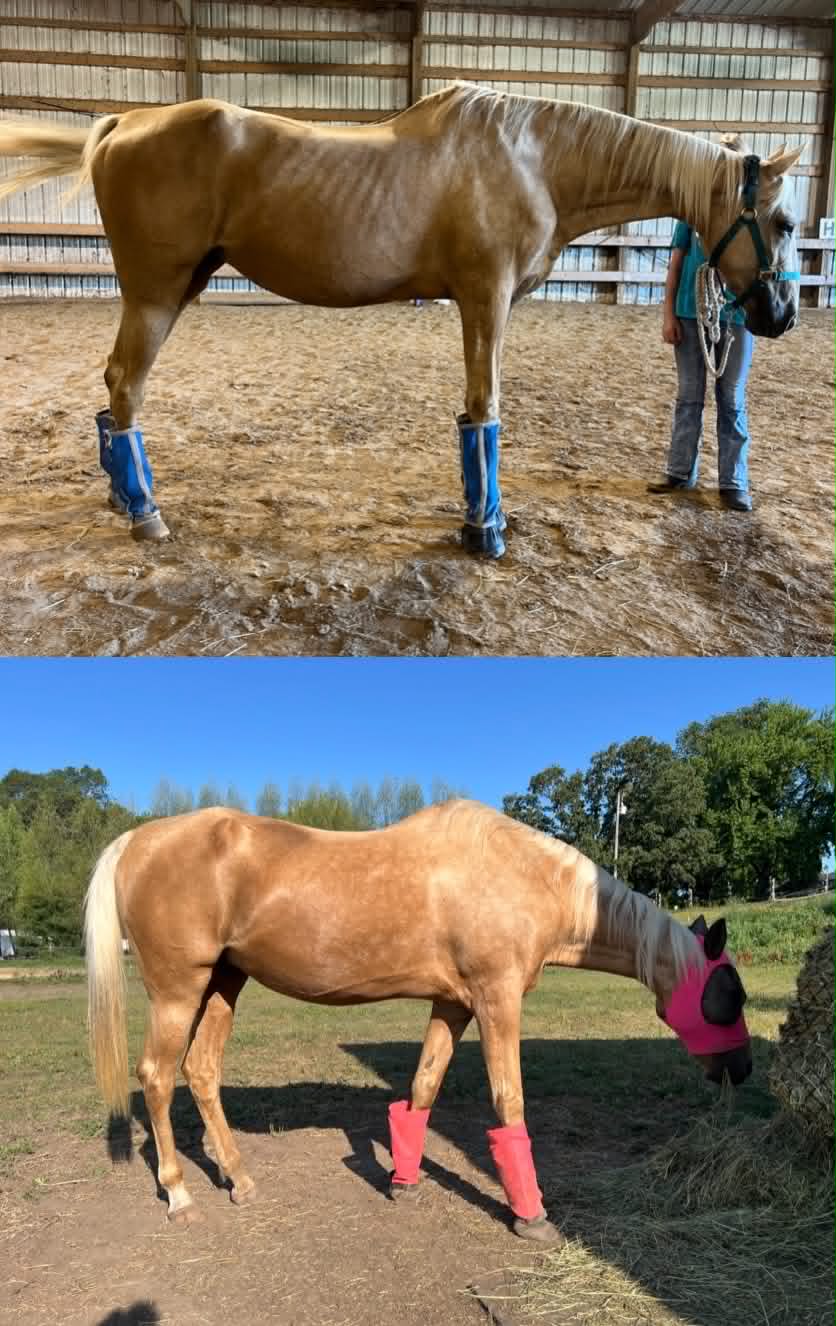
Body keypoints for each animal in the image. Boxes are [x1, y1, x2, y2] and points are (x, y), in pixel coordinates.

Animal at [0, 85, 802, 554]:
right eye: (786, 221)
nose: (783, 315)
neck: (535, 160)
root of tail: (122, 123)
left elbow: (473, 416)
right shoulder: (485, 297)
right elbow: (485, 408)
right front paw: (485, 532)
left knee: (112, 396)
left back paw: (119, 496)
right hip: (156, 293)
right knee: (125, 387)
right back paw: (145, 513)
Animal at [84, 799, 750, 1242]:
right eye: (729, 995)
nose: (741, 1071)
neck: (521, 875)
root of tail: (137, 839)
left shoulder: (454, 1003)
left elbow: (424, 1085)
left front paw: (402, 1182)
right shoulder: (496, 1000)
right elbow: (509, 1102)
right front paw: (531, 1216)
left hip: (224, 983)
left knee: (200, 1071)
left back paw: (239, 1180)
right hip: (179, 990)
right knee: (157, 1076)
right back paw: (179, 1194)